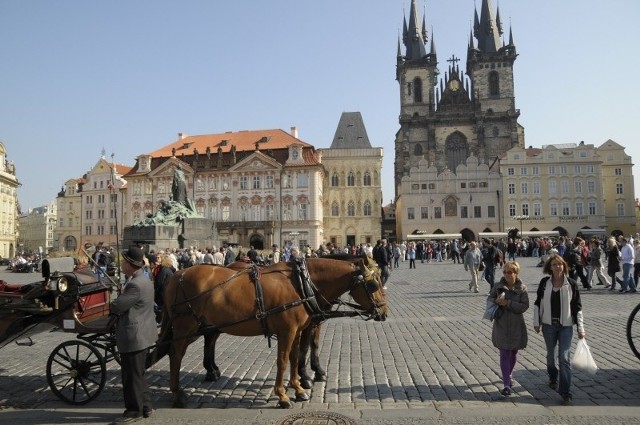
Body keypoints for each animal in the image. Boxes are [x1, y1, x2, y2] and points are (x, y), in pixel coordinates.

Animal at [151, 255, 388, 408]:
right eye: (373, 285)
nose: (384, 312)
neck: (300, 283)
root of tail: (177, 274)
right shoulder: (287, 331)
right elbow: (283, 360)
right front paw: (284, 394)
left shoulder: (298, 330)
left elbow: (295, 356)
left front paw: (298, 387)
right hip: (186, 326)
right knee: (176, 354)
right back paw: (178, 393)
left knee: (196, 345)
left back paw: (207, 374)